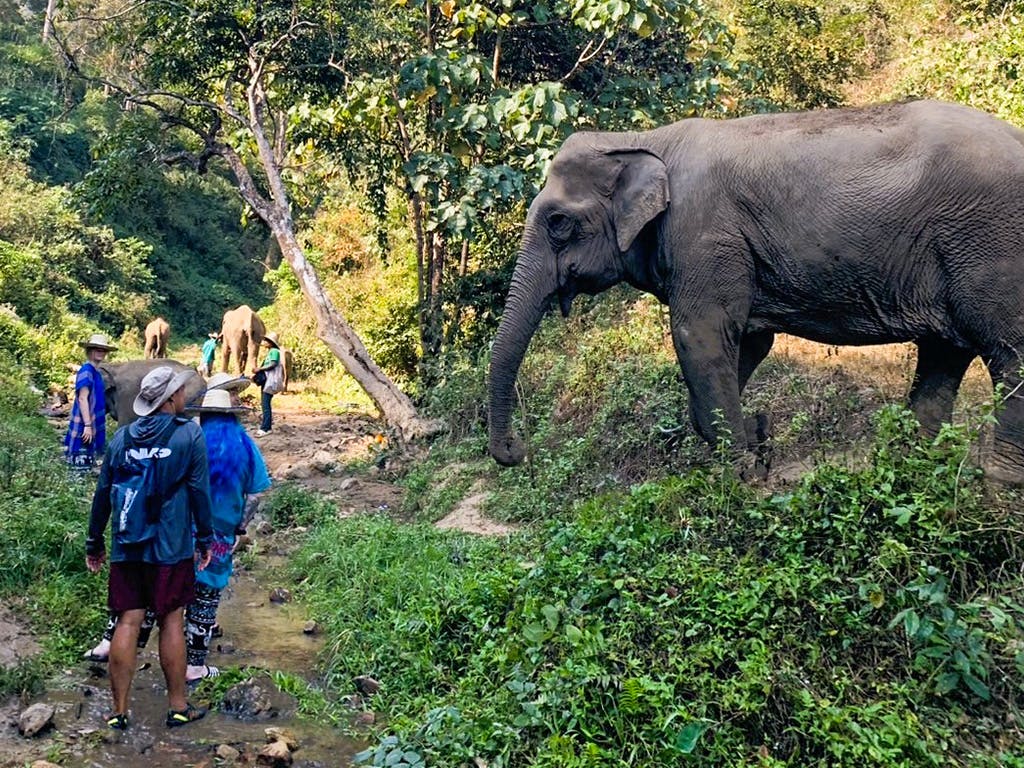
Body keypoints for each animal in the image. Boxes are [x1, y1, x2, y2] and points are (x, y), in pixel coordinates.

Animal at [487, 99, 1024, 484]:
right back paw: (913, 471)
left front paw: (738, 475)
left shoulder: (704, 236)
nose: (518, 450)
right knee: (943, 354)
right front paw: (758, 442)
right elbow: (746, 343)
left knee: (1009, 352)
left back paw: (998, 489)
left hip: (989, 242)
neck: (643, 140)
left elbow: (699, 337)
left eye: (558, 223)